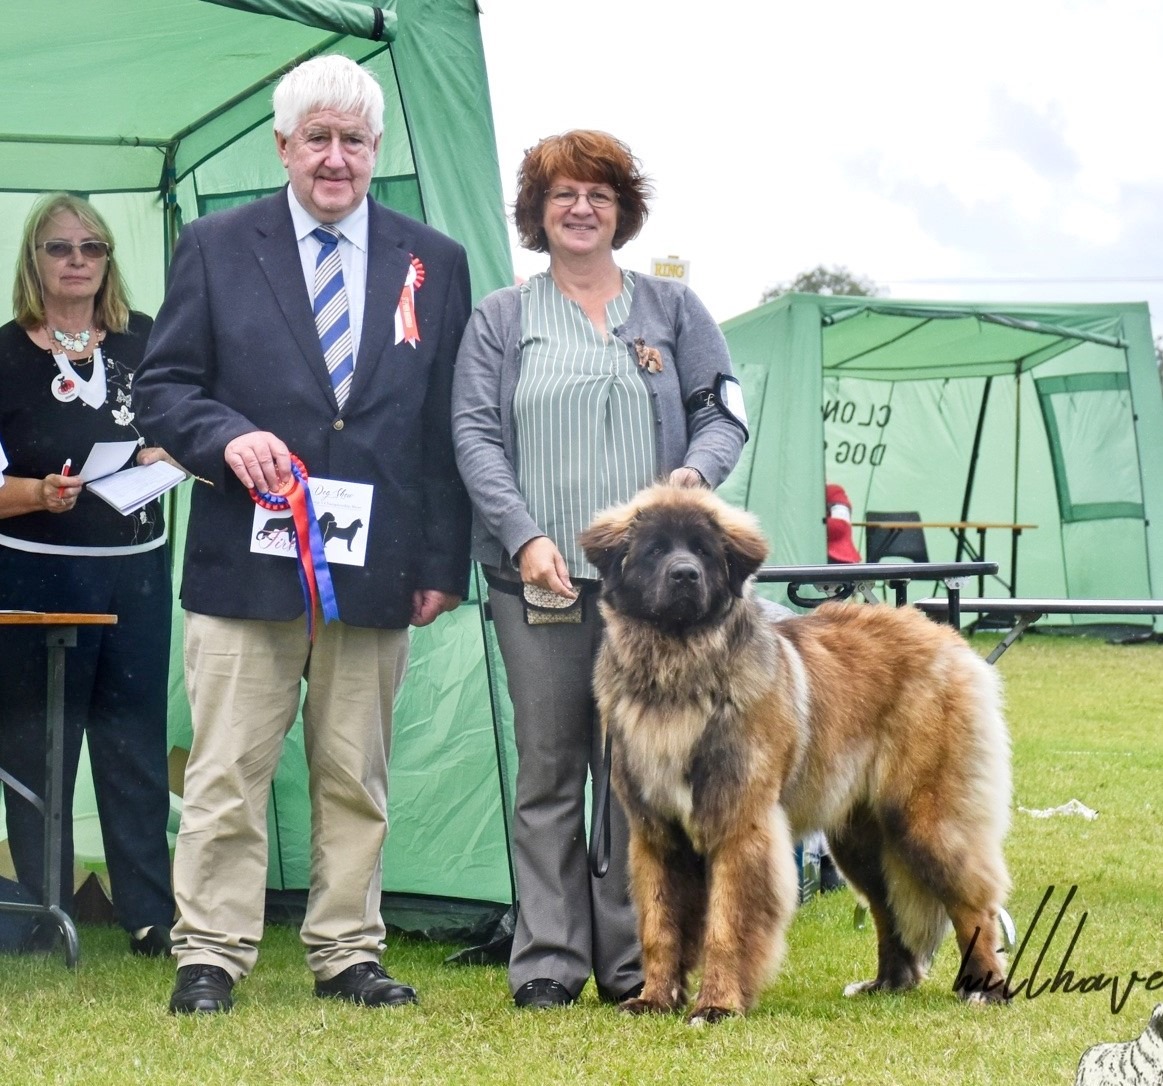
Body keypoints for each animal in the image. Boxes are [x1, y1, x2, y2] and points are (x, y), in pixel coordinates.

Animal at [579, 488, 1009, 1023]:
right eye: (655, 550)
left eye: (702, 551)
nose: (685, 575)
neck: (679, 671)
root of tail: (947, 639)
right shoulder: (656, 834)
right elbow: (659, 925)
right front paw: (655, 999)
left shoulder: (739, 826)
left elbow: (726, 925)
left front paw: (717, 1005)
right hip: (861, 839)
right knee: (888, 907)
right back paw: (887, 983)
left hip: (926, 819)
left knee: (974, 904)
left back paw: (985, 987)